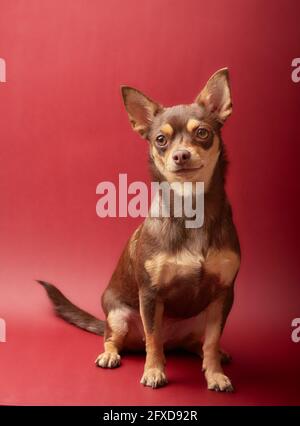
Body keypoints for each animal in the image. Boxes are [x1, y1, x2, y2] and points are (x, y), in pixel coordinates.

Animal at [40, 68, 241, 392]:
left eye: (202, 133)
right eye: (160, 139)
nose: (181, 155)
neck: (192, 209)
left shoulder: (223, 295)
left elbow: (211, 341)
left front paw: (215, 374)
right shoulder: (150, 295)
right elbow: (153, 338)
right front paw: (154, 371)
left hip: (201, 318)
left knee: (197, 343)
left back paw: (214, 356)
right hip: (119, 316)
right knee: (119, 339)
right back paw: (110, 355)